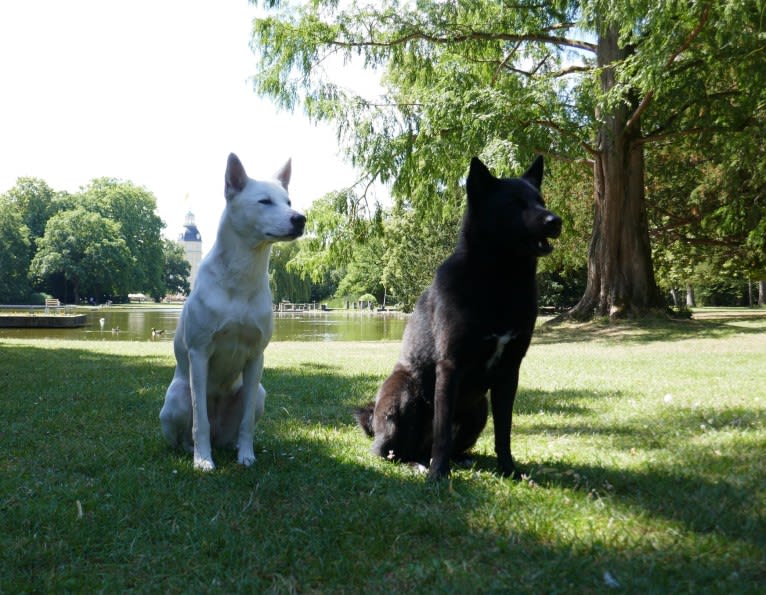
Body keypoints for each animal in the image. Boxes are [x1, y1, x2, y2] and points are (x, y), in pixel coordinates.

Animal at [160, 156, 306, 472]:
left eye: (288, 201)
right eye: (264, 201)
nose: (300, 218)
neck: (242, 275)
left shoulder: (256, 357)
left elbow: (247, 421)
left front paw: (247, 456)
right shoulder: (199, 353)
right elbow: (199, 420)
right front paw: (203, 460)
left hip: (261, 393)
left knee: (237, 426)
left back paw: (233, 446)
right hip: (177, 398)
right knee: (187, 432)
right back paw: (194, 450)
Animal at [356, 156, 564, 482]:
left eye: (540, 201)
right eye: (515, 203)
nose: (555, 221)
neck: (500, 282)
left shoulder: (510, 371)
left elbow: (504, 432)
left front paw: (509, 470)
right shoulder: (450, 366)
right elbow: (442, 433)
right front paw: (438, 476)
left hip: (480, 408)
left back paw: (460, 460)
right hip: (405, 393)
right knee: (389, 452)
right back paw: (418, 464)